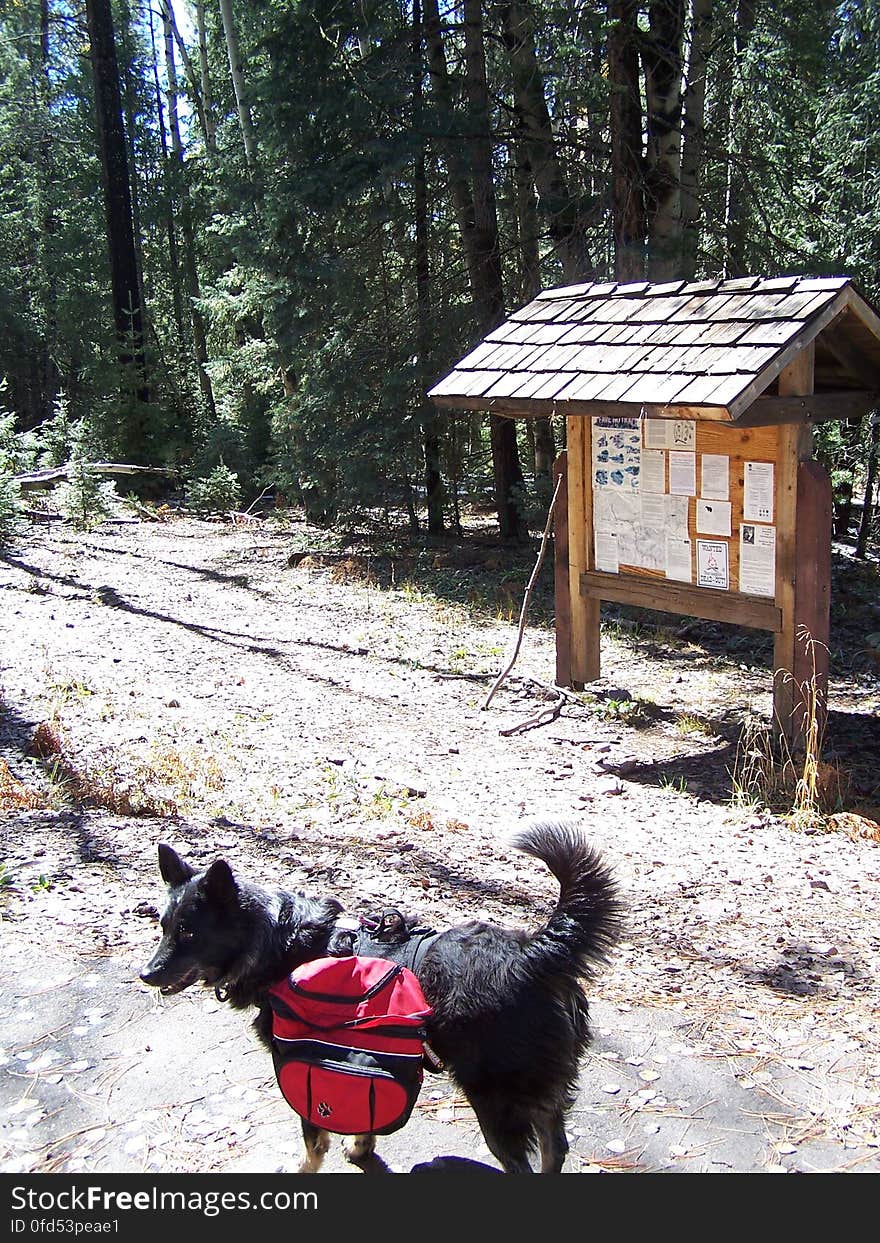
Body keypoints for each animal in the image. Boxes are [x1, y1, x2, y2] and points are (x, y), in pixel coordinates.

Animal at [141, 820, 618, 1168]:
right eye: (163, 926)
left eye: (189, 933)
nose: (146, 974)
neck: (279, 941)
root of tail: (536, 950)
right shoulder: (358, 1055)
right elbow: (362, 1120)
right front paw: (360, 1149)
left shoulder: (304, 1065)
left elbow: (313, 1145)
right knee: (555, 1149)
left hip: (493, 1097)